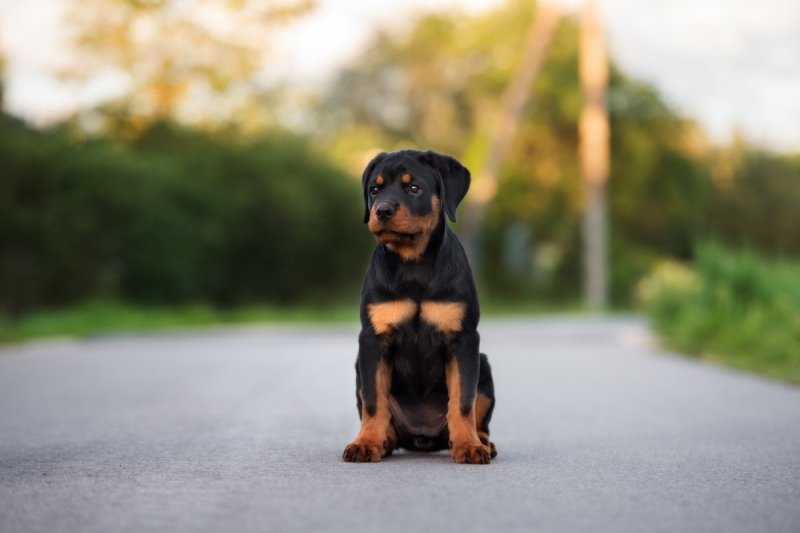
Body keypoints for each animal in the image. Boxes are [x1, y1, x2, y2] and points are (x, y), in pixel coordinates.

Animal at [340, 149, 496, 462]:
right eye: (374, 190)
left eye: (414, 188)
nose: (382, 211)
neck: (413, 265)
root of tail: (423, 438)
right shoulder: (373, 340)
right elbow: (373, 401)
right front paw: (366, 443)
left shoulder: (463, 338)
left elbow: (463, 400)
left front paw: (469, 446)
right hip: (359, 368)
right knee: (381, 415)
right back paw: (381, 441)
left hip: (483, 364)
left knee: (478, 416)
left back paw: (482, 442)